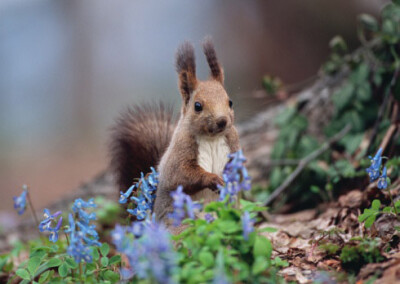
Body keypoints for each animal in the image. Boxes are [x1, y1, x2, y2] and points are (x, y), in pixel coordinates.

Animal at [109, 38, 239, 227]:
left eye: (230, 102)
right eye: (197, 106)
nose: (222, 121)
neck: (212, 137)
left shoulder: (234, 143)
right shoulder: (180, 152)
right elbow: (180, 175)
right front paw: (213, 179)